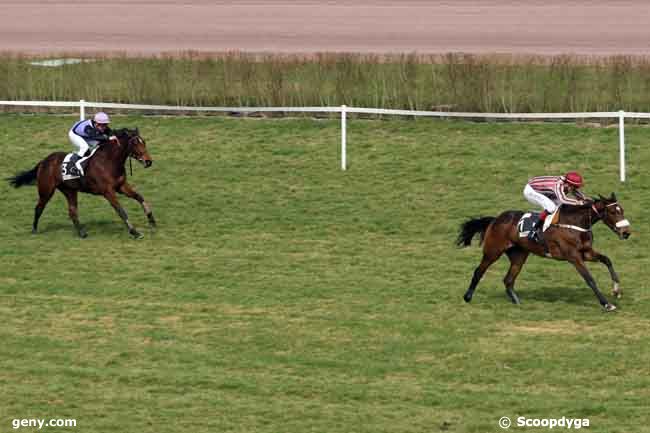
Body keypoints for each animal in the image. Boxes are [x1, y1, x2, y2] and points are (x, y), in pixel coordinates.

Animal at [8, 128, 155, 238]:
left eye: (144, 142)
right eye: (135, 143)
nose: (148, 161)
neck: (109, 161)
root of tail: (44, 161)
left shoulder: (121, 186)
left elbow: (139, 197)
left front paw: (152, 220)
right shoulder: (107, 191)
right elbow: (121, 210)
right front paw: (134, 232)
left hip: (70, 191)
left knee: (72, 211)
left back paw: (82, 233)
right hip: (46, 190)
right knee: (39, 207)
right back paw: (34, 229)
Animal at [456, 195, 628, 310]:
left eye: (622, 210)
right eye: (613, 212)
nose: (626, 232)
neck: (576, 223)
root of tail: (495, 219)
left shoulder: (586, 253)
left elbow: (607, 260)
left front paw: (616, 290)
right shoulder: (573, 256)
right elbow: (590, 279)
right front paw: (606, 304)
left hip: (519, 255)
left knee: (508, 279)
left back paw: (517, 302)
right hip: (493, 251)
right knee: (479, 271)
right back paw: (467, 297)